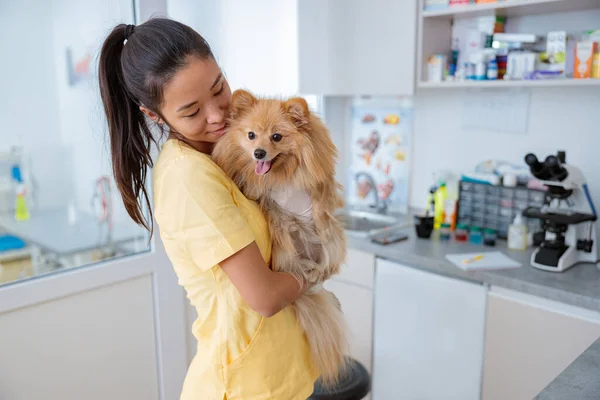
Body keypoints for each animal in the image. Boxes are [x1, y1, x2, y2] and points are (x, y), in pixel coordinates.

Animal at [213, 90, 350, 384]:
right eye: (251, 135)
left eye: (277, 137)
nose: (258, 152)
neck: (283, 174)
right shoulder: (266, 196)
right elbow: (264, 196)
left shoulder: (319, 185)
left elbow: (320, 207)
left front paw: (320, 223)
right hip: (286, 247)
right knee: (296, 261)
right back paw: (307, 269)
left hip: (331, 246)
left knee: (327, 258)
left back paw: (318, 267)